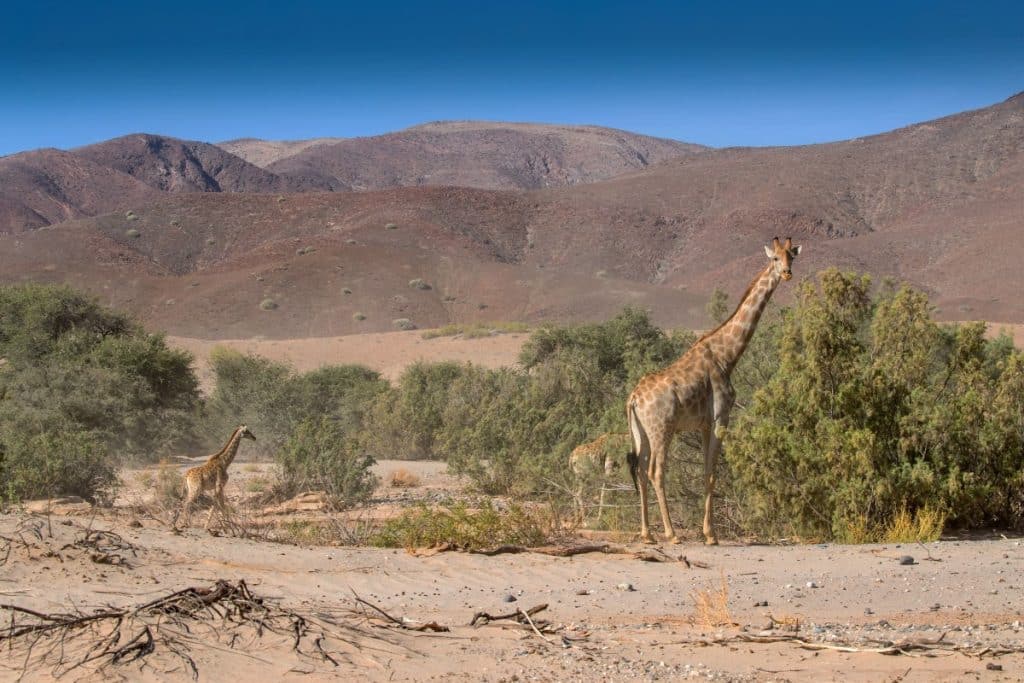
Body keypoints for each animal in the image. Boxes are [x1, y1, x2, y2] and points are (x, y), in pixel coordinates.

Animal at [626, 237, 801, 545]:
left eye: (792, 256)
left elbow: (706, 472)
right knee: (655, 471)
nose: (788, 273)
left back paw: (647, 534)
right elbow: (712, 473)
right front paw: (710, 535)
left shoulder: (705, 424)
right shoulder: (721, 417)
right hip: (662, 428)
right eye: (775, 259)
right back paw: (671, 534)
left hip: (641, 433)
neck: (727, 356)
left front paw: (708, 531)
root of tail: (633, 399)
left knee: (640, 470)